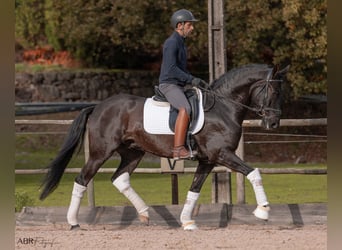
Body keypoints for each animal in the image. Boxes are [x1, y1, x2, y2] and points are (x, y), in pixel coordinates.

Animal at [38, 63, 288, 230]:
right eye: (274, 92)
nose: (274, 123)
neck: (224, 108)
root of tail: (98, 106)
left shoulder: (208, 160)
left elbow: (194, 190)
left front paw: (187, 221)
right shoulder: (222, 154)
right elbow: (254, 172)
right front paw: (263, 211)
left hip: (133, 153)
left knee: (120, 179)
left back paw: (145, 213)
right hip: (101, 153)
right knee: (82, 179)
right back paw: (73, 222)